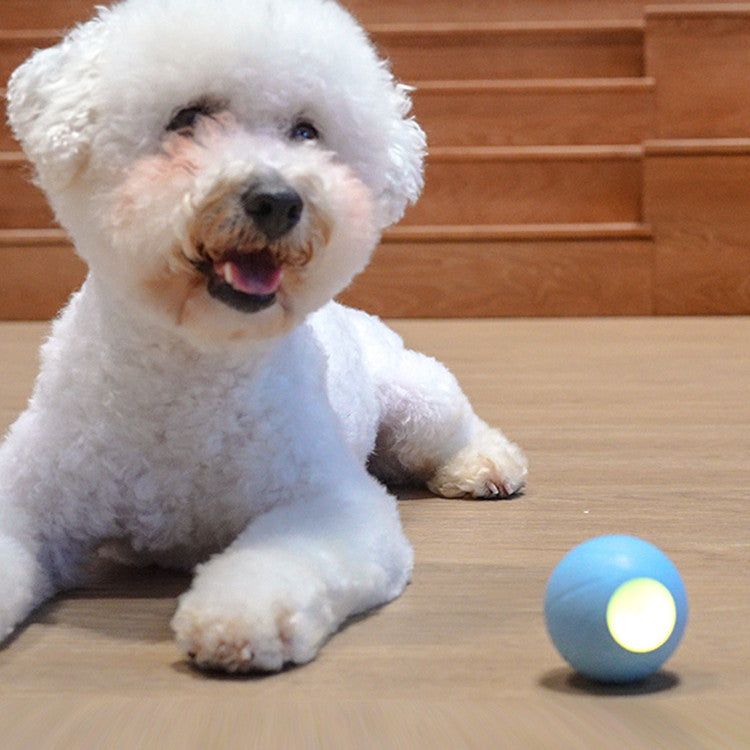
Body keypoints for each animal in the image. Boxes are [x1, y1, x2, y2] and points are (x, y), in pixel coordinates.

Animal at [2, 0, 524, 676]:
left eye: (306, 131)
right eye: (187, 118)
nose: (277, 200)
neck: (193, 368)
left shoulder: (328, 505)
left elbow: (280, 560)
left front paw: (237, 618)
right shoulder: (28, 496)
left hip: (417, 399)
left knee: (456, 425)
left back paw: (483, 463)